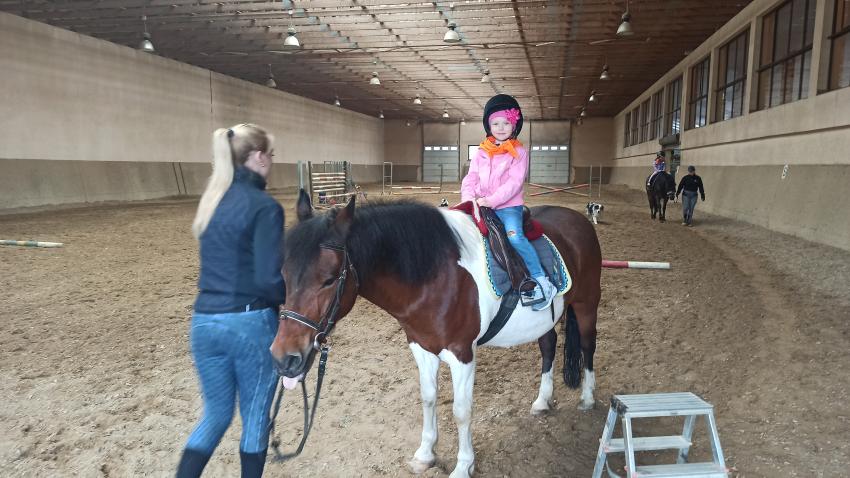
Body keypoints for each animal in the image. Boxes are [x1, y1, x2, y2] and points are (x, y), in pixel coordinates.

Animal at [270, 191, 601, 478]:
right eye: (283, 274)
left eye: (328, 280)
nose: (284, 358)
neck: (437, 275)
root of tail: (578, 219)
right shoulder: (421, 346)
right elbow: (428, 398)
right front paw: (425, 454)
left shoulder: (462, 354)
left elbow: (461, 411)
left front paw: (463, 466)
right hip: (545, 320)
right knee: (548, 346)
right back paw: (543, 401)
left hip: (587, 304)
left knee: (588, 346)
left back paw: (587, 398)